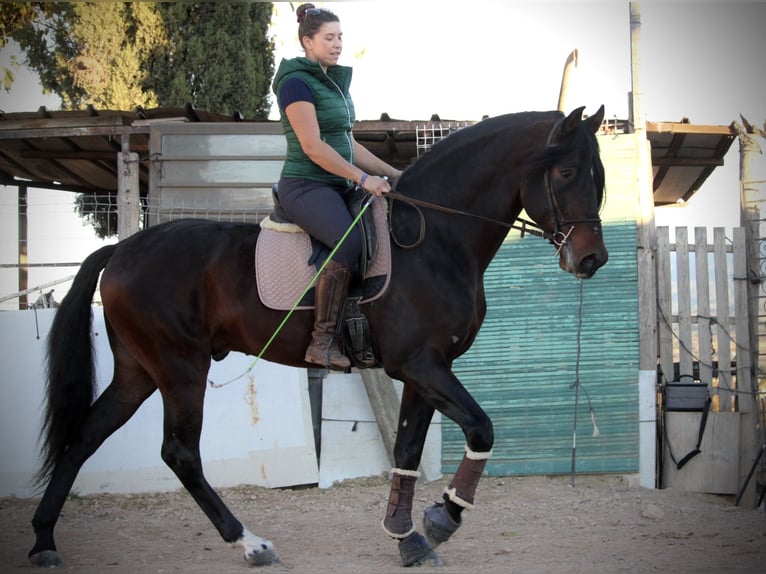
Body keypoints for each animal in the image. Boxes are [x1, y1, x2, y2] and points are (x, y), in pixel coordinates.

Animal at [27, 106, 608, 568]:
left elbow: (407, 448)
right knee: (180, 453)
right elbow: (483, 430)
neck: (435, 239)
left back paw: (43, 541)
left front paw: (407, 538)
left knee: (85, 436)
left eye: (598, 175)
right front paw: (443, 518)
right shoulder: (421, 366)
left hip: (139, 371)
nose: (591, 260)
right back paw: (251, 543)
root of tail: (120, 251)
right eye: (566, 171)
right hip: (180, 367)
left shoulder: (426, 371)